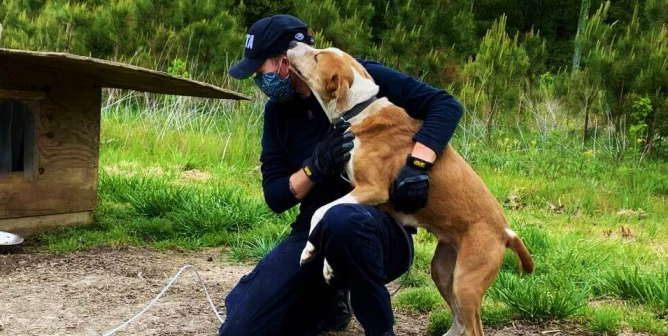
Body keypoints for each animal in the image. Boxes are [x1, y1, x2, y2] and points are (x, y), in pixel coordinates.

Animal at [286, 42, 532, 336]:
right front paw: (327, 268)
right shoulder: (356, 191)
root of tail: (505, 231)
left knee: (473, 328)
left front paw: (308, 251)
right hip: (443, 271)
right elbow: (326, 217)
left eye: (316, 57)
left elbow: (322, 212)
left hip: (466, 284)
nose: (292, 44)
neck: (360, 111)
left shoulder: (373, 189)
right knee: (459, 321)